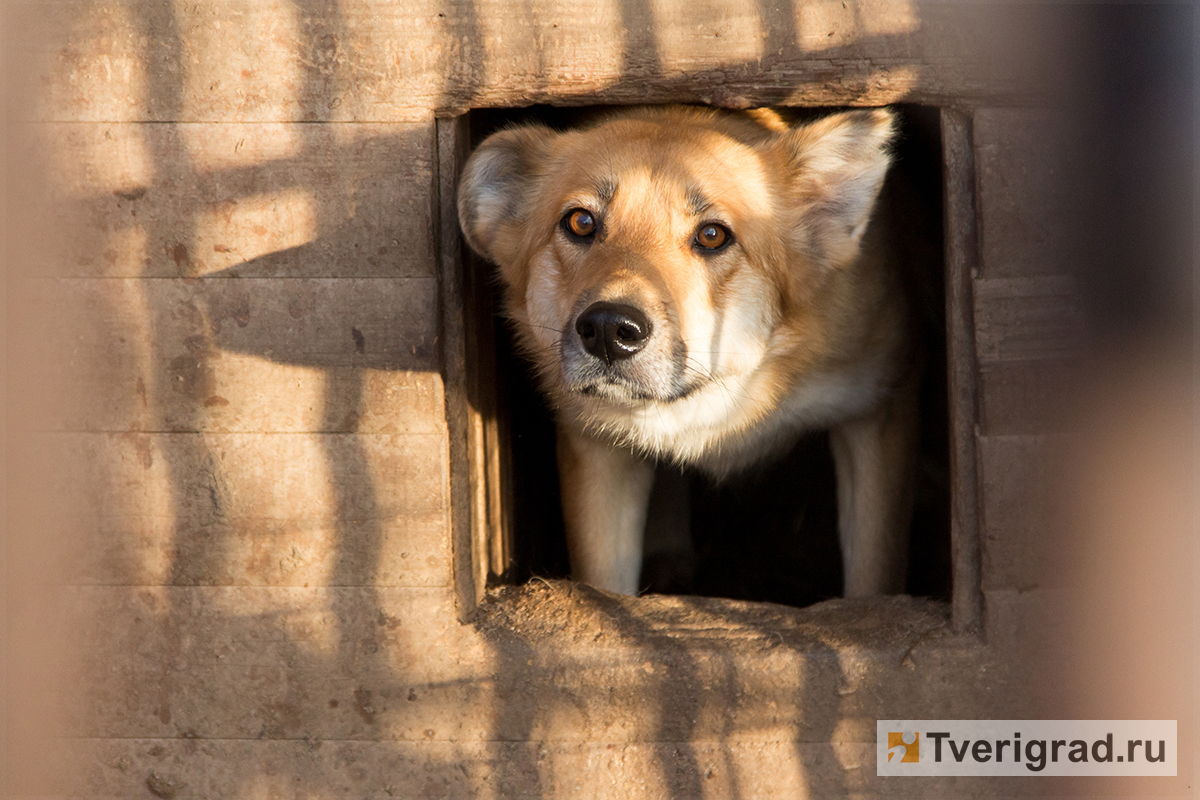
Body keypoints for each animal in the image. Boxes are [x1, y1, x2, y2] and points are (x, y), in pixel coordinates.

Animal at [456, 104, 916, 594]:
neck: (726, 392)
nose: (608, 330)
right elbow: (606, 587)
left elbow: (873, 578)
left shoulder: (877, 413)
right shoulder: (597, 449)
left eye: (712, 235)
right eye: (580, 223)